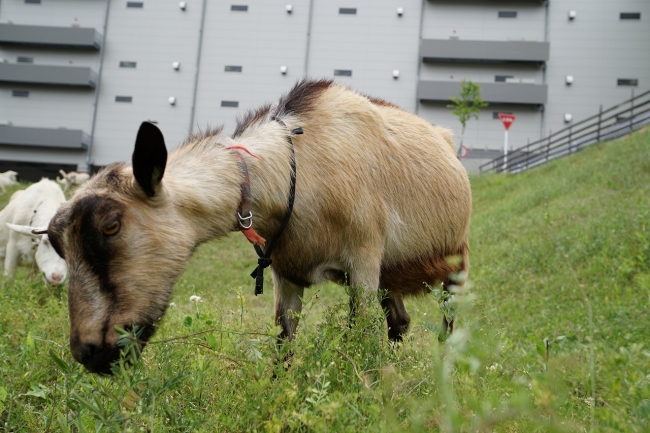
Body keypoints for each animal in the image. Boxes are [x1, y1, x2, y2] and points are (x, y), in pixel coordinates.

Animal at [46, 79, 470, 372]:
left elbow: (358, 333)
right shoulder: (288, 271)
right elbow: (284, 340)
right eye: (55, 242)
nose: (87, 352)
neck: (296, 168)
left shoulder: (363, 260)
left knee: (447, 321)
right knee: (400, 321)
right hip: (391, 272)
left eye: (111, 226)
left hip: (455, 260)